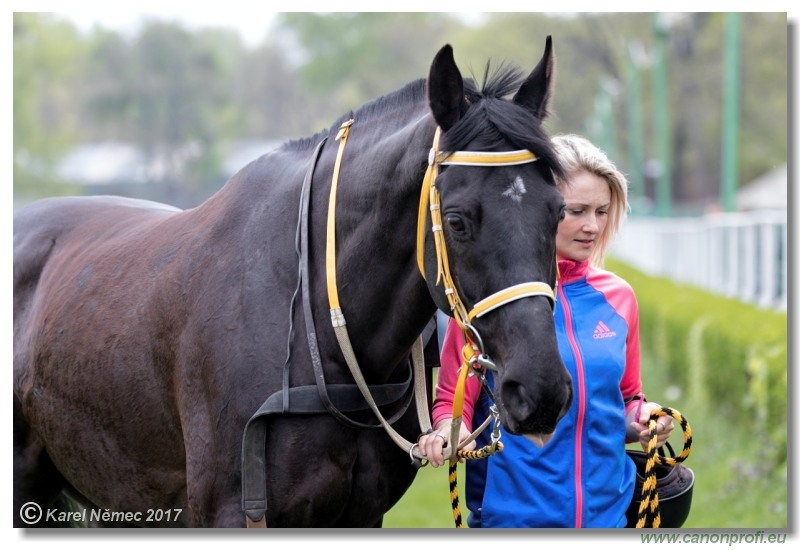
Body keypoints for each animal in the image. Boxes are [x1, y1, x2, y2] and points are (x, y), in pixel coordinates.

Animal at [14, 38, 576, 532]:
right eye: (457, 221)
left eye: (558, 212)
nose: (541, 389)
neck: (317, 334)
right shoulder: (233, 511)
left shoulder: (361, 515)